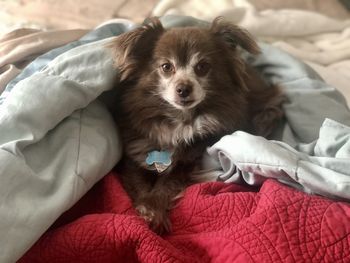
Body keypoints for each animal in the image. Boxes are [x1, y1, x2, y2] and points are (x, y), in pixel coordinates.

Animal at [108, 16, 284, 235]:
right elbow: (138, 182)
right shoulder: (134, 156)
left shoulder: (190, 159)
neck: (180, 121)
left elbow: (168, 183)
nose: (183, 88)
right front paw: (146, 210)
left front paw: (154, 209)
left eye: (202, 66)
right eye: (166, 67)